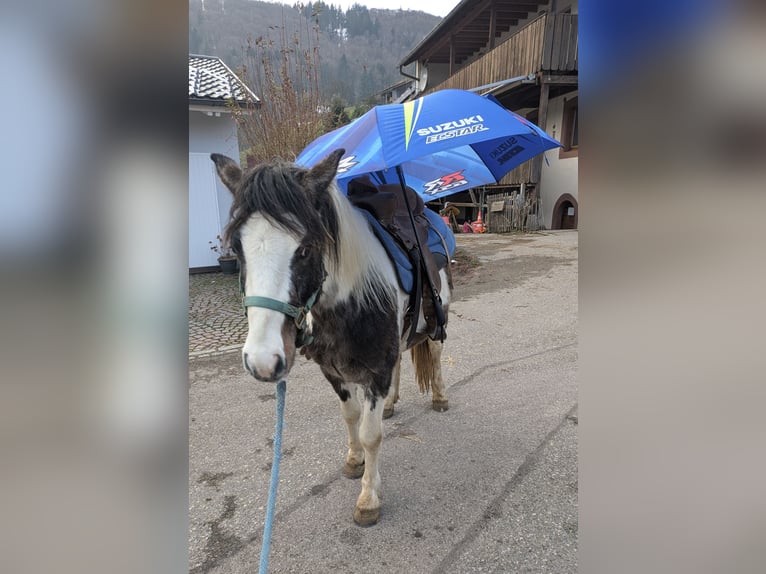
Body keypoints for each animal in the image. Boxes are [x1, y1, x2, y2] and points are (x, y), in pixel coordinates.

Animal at [210, 148, 452, 526]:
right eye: (237, 248)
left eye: (306, 248)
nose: (263, 361)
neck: (351, 303)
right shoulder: (334, 372)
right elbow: (351, 416)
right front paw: (354, 461)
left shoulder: (375, 373)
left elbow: (370, 434)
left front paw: (368, 498)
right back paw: (392, 404)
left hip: (438, 322)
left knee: (437, 355)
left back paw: (440, 397)